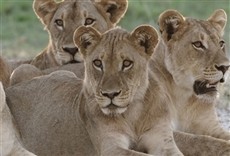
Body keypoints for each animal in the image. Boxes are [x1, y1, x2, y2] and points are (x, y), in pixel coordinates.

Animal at [153, 8, 230, 145]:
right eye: (198, 44)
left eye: (221, 43)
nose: (226, 67)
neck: (183, 97)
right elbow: (202, 140)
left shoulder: (211, 126)